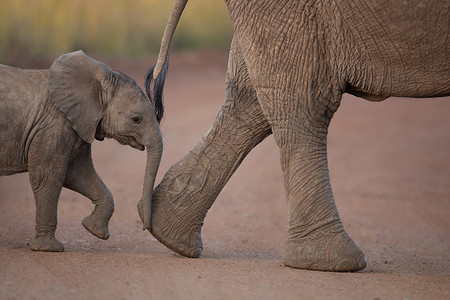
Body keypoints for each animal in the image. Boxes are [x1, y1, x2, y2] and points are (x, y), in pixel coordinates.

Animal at [0, 51, 162, 251]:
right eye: (136, 119)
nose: (145, 228)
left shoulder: (79, 124)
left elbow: (78, 174)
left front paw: (93, 230)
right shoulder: (54, 125)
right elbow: (48, 175)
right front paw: (49, 248)